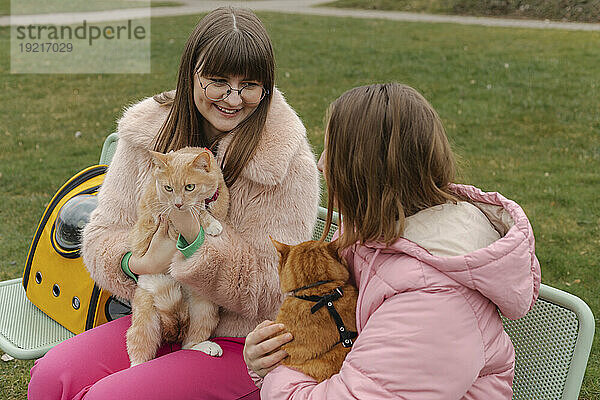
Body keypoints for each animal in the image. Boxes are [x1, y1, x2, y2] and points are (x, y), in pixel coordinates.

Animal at [125, 146, 229, 366]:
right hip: (146, 320)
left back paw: (204, 346)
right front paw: (208, 222)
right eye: (168, 188)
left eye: (189, 187)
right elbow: (197, 213)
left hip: (204, 309)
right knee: (138, 348)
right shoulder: (160, 211)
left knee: (187, 344)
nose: (178, 204)